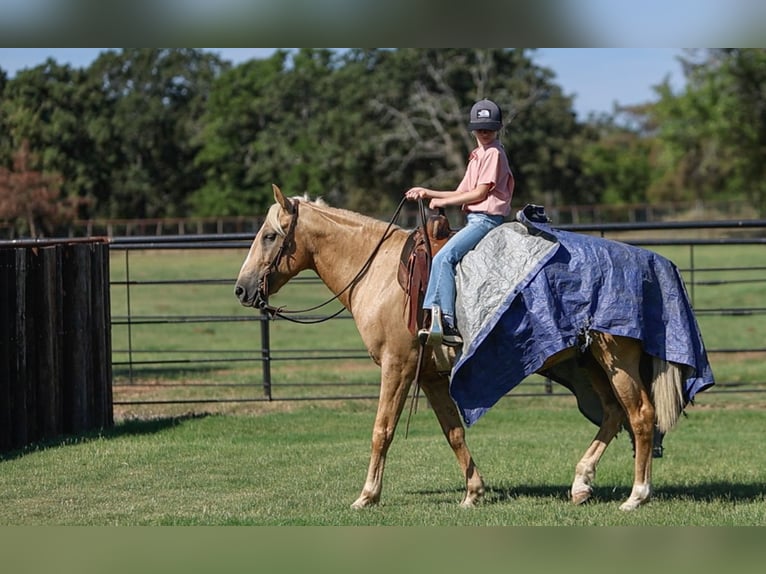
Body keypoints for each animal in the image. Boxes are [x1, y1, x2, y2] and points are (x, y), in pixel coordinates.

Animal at [237, 184, 700, 512]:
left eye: (269, 235)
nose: (241, 289)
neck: (380, 272)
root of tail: (654, 264)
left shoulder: (397, 365)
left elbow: (382, 430)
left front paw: (367, 495)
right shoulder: (429, 375)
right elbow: (453, 430)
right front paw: (473, 492)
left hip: (616, 358)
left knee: (640, 415)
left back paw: (636, 495)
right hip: (589, 361)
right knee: (612, 413)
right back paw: (581, 483)